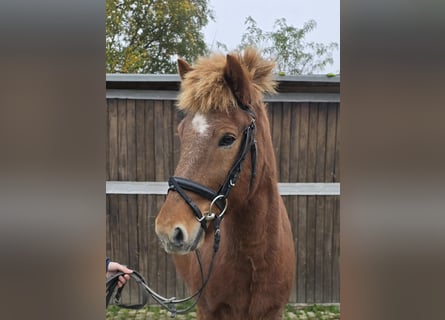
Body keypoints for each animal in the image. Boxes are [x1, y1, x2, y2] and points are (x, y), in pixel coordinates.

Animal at [155, 48, 294, 318]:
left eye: (228, 138)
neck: (255, 254)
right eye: (181, 133)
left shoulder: (273, 311)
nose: (168, 229)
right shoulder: (207, 310)